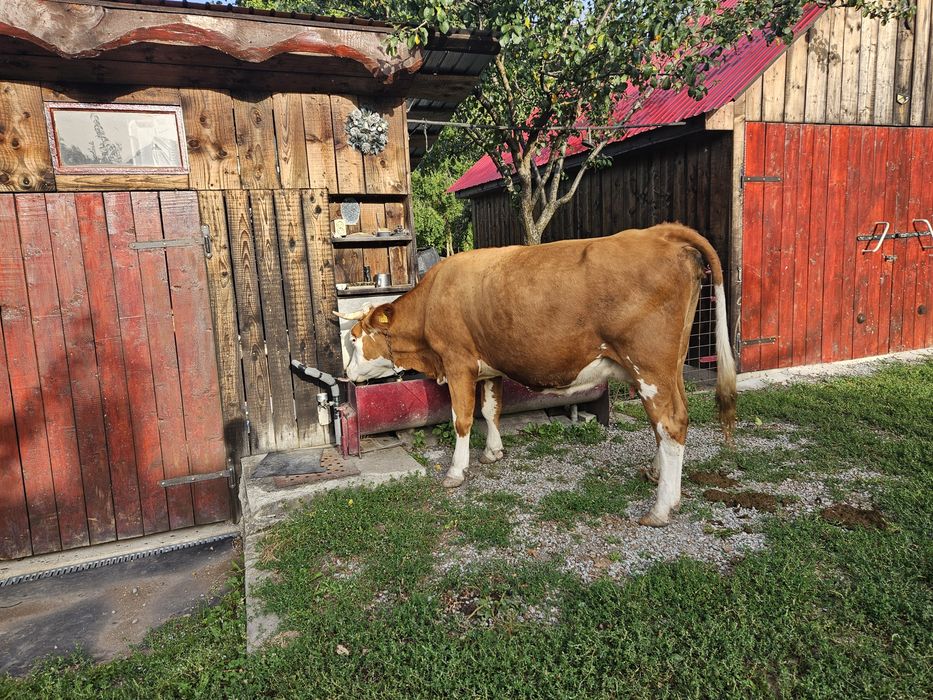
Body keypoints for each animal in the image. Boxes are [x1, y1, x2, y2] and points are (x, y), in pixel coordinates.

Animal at [335, 223, 736, 527]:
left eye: (353, 339)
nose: (346, 373)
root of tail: (661, 232)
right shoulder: (488, 366)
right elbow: (490, 410)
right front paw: (493, 452)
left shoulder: (458, 362)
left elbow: (462, 419)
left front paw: (456, 471)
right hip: (670, 367)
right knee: (670, 422)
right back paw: (657, 475)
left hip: (649, 366)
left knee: (670, 423)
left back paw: (661, 507)